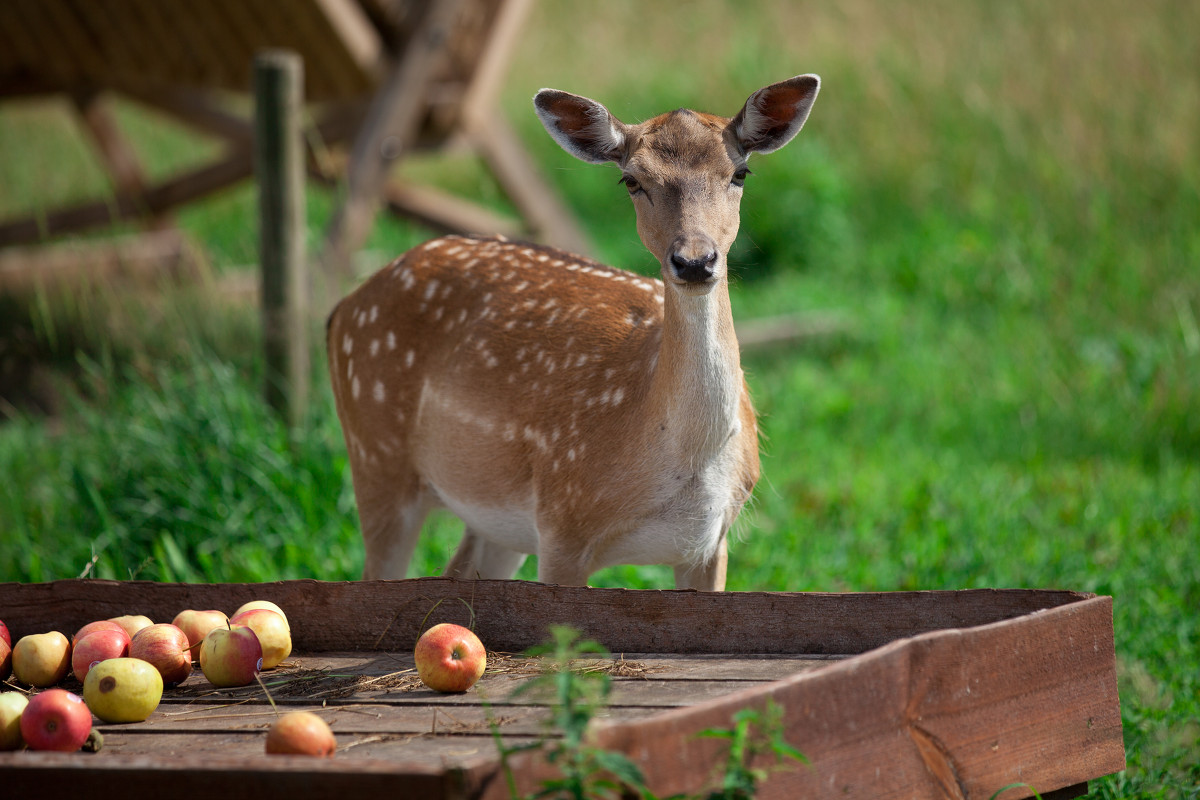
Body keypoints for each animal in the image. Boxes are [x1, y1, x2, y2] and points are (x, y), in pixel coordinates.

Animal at [324, 73, 820, 587]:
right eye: (632, 180)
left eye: (740, 173)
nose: (694, 261)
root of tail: (343, 308)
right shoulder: (563, 521)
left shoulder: (710, 542)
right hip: (376, 454)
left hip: (496, 522)